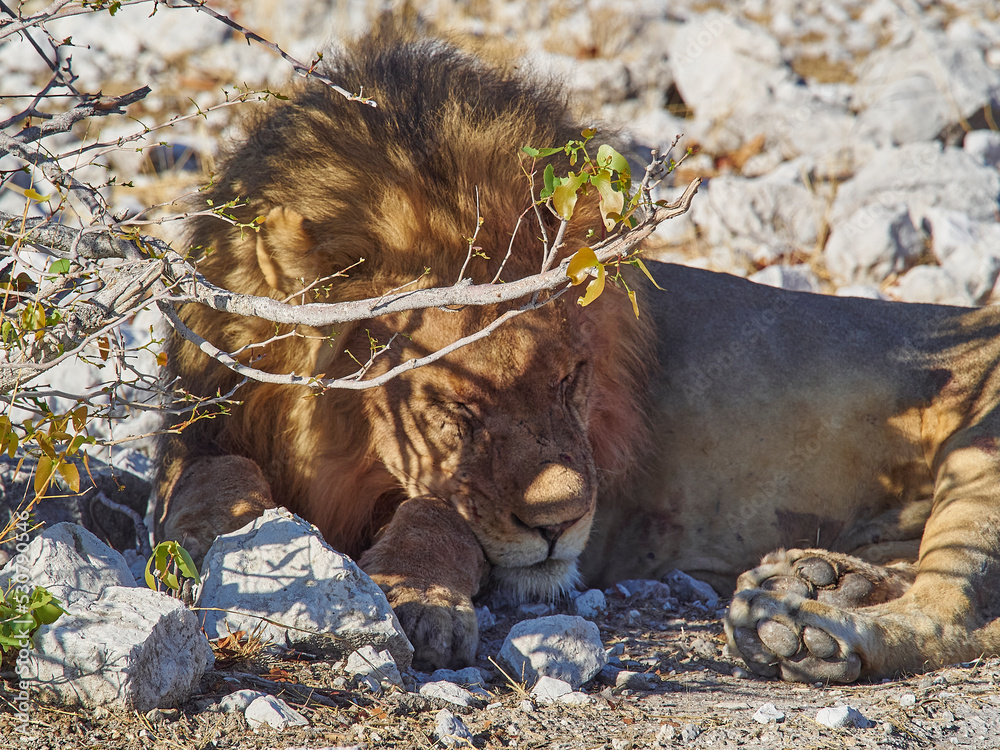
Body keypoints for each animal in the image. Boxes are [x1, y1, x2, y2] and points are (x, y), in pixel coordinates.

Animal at [155, 26, 1000, 681]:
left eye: (573, 379)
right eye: (455, 408)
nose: (562, 523)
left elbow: (441, 515)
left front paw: (417, 598)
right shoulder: (198, 424)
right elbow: (212, 475)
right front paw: (214, 540)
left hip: (978, 450)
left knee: (959, 615)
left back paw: (811, 634)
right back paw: (815, 582)